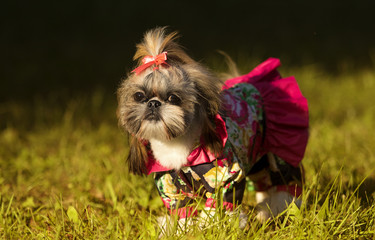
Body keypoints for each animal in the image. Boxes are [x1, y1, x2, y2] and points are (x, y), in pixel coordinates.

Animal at [117, 27, 308, 230]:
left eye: (173, 98)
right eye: (139, 96)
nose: (153, 103)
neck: (178, 147)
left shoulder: (227, 177)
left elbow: (220, 204)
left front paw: (212, 226)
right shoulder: (171, 187)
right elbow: (180, 210)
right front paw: (178, 230)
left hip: (278, 152)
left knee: (282, 183)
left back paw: (279, 208)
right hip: (257, 158)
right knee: (264, 184)